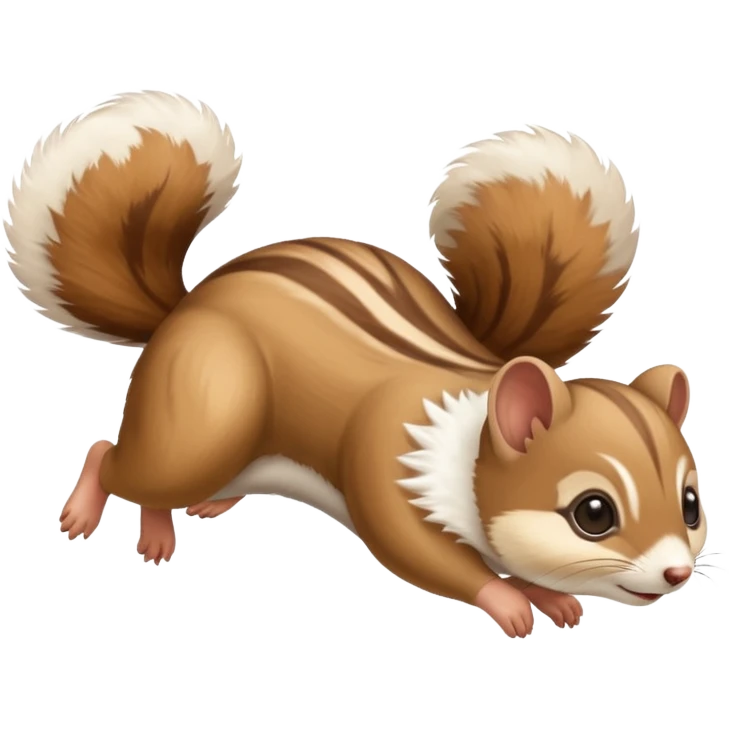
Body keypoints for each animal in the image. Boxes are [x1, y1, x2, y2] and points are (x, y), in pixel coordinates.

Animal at [4, 91, 705, 638]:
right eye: (594, 513)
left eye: (691, 504)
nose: (675, 572)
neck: (471, 428)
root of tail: (181, 307)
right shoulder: (389, 461)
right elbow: (424, 553)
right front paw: (509, 600)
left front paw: (550, 594)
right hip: (204, 417)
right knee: (114, 456)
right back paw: (98, 514)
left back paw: (184, 515)